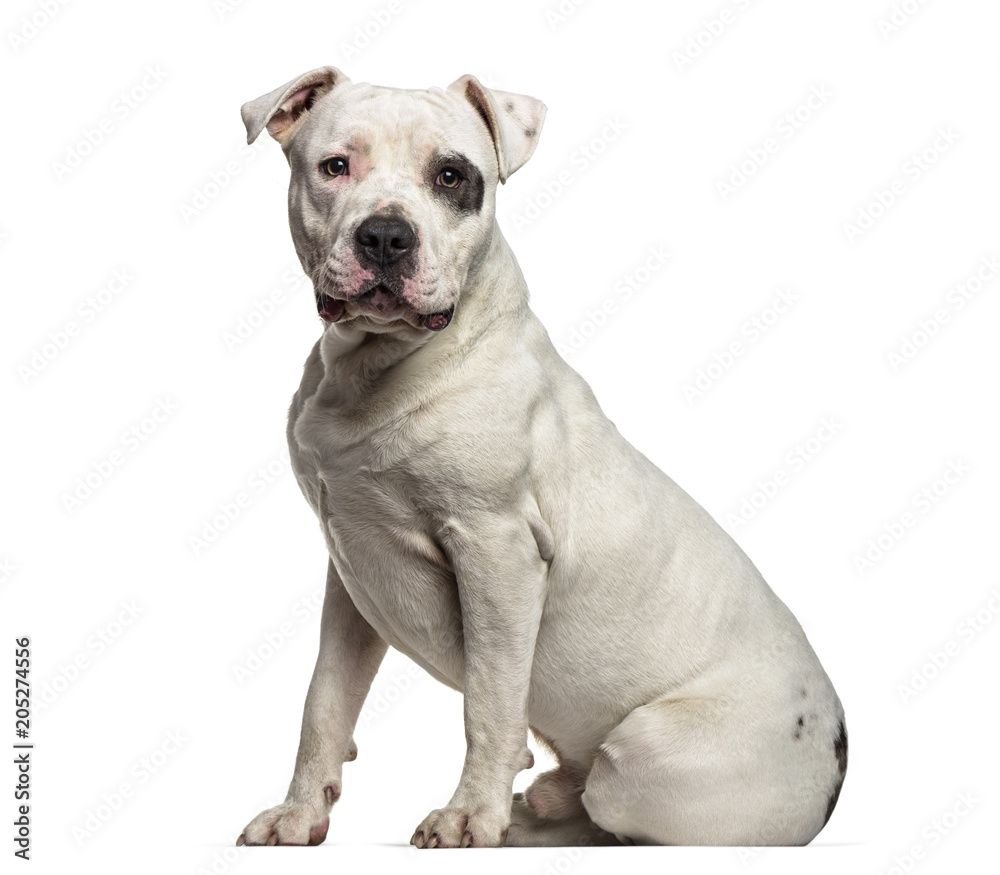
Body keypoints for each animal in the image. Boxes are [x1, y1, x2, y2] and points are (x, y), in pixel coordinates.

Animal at [232, 66, 844, 848]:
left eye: (451, 175)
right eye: (335, 166)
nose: (386, 236)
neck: (378, 365)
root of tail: (836, 760)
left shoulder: (497, 555)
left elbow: (490, 704)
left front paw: (469, 815)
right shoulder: (352, 573)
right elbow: (325, 700)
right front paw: (301, 811)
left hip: (640, 757)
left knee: (609, 813)